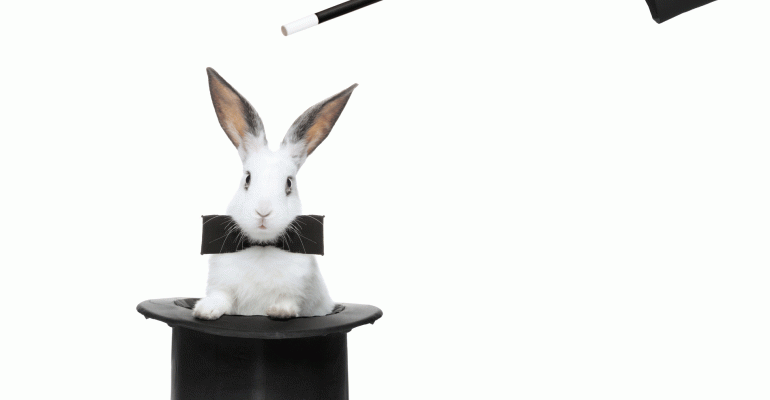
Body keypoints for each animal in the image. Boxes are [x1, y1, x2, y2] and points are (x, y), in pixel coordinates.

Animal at [195, 67, 356, 320]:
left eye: (289, 183)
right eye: (247, 178)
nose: (263, 211)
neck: (262, 246)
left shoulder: (300, 293)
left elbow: (289, 301)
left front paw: (280, 311)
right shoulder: (222, 287)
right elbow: (220, 298)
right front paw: (205, 311)